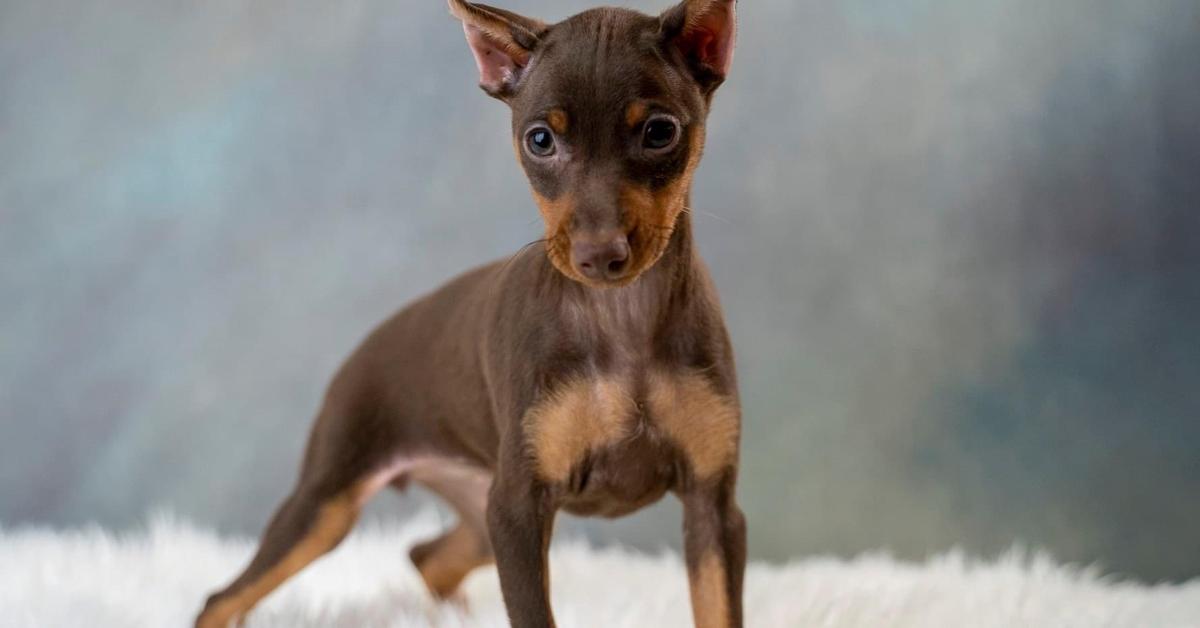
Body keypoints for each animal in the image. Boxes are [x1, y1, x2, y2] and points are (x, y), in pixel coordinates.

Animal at [195, 2, 739, 624]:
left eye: (660, 132)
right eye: (539, 140)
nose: (599, 256)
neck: (620, 316)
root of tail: (362, 348)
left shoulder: (713, 506)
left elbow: (719, 607)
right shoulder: (519, 511)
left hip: (478, 509)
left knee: (427, 556)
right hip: (332, 501)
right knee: (223, 597)